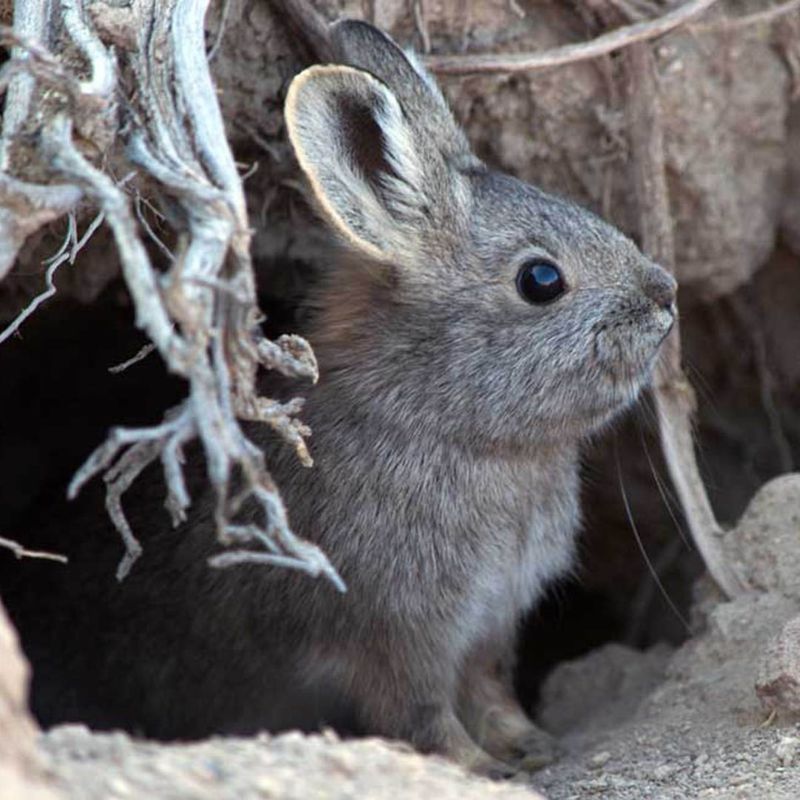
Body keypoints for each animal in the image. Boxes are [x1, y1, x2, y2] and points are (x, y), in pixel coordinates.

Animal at [10, 20, 676, 780]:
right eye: (541, 279)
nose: (664, 297)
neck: (441, 422)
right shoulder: (394, 635)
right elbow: (422, 714)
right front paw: (479, 769)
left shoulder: (489, 625)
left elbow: (491, 692)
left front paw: (533, 746)